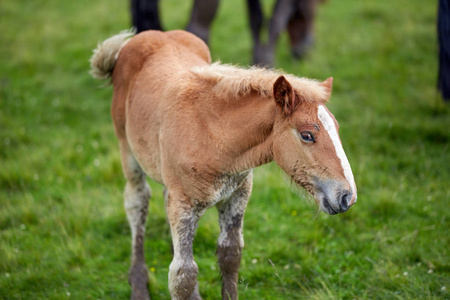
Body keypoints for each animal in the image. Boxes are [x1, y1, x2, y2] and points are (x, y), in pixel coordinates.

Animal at [90, 29, 356, 298]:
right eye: (307, 135)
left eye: (337, 128)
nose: (347, 196)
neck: (213, 137)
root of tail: (150, 35)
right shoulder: (183, 205)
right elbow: (182, 275)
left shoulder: (236, 196)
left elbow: (230, 256)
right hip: (128, 151)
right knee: (137, 203)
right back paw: (139, 285)